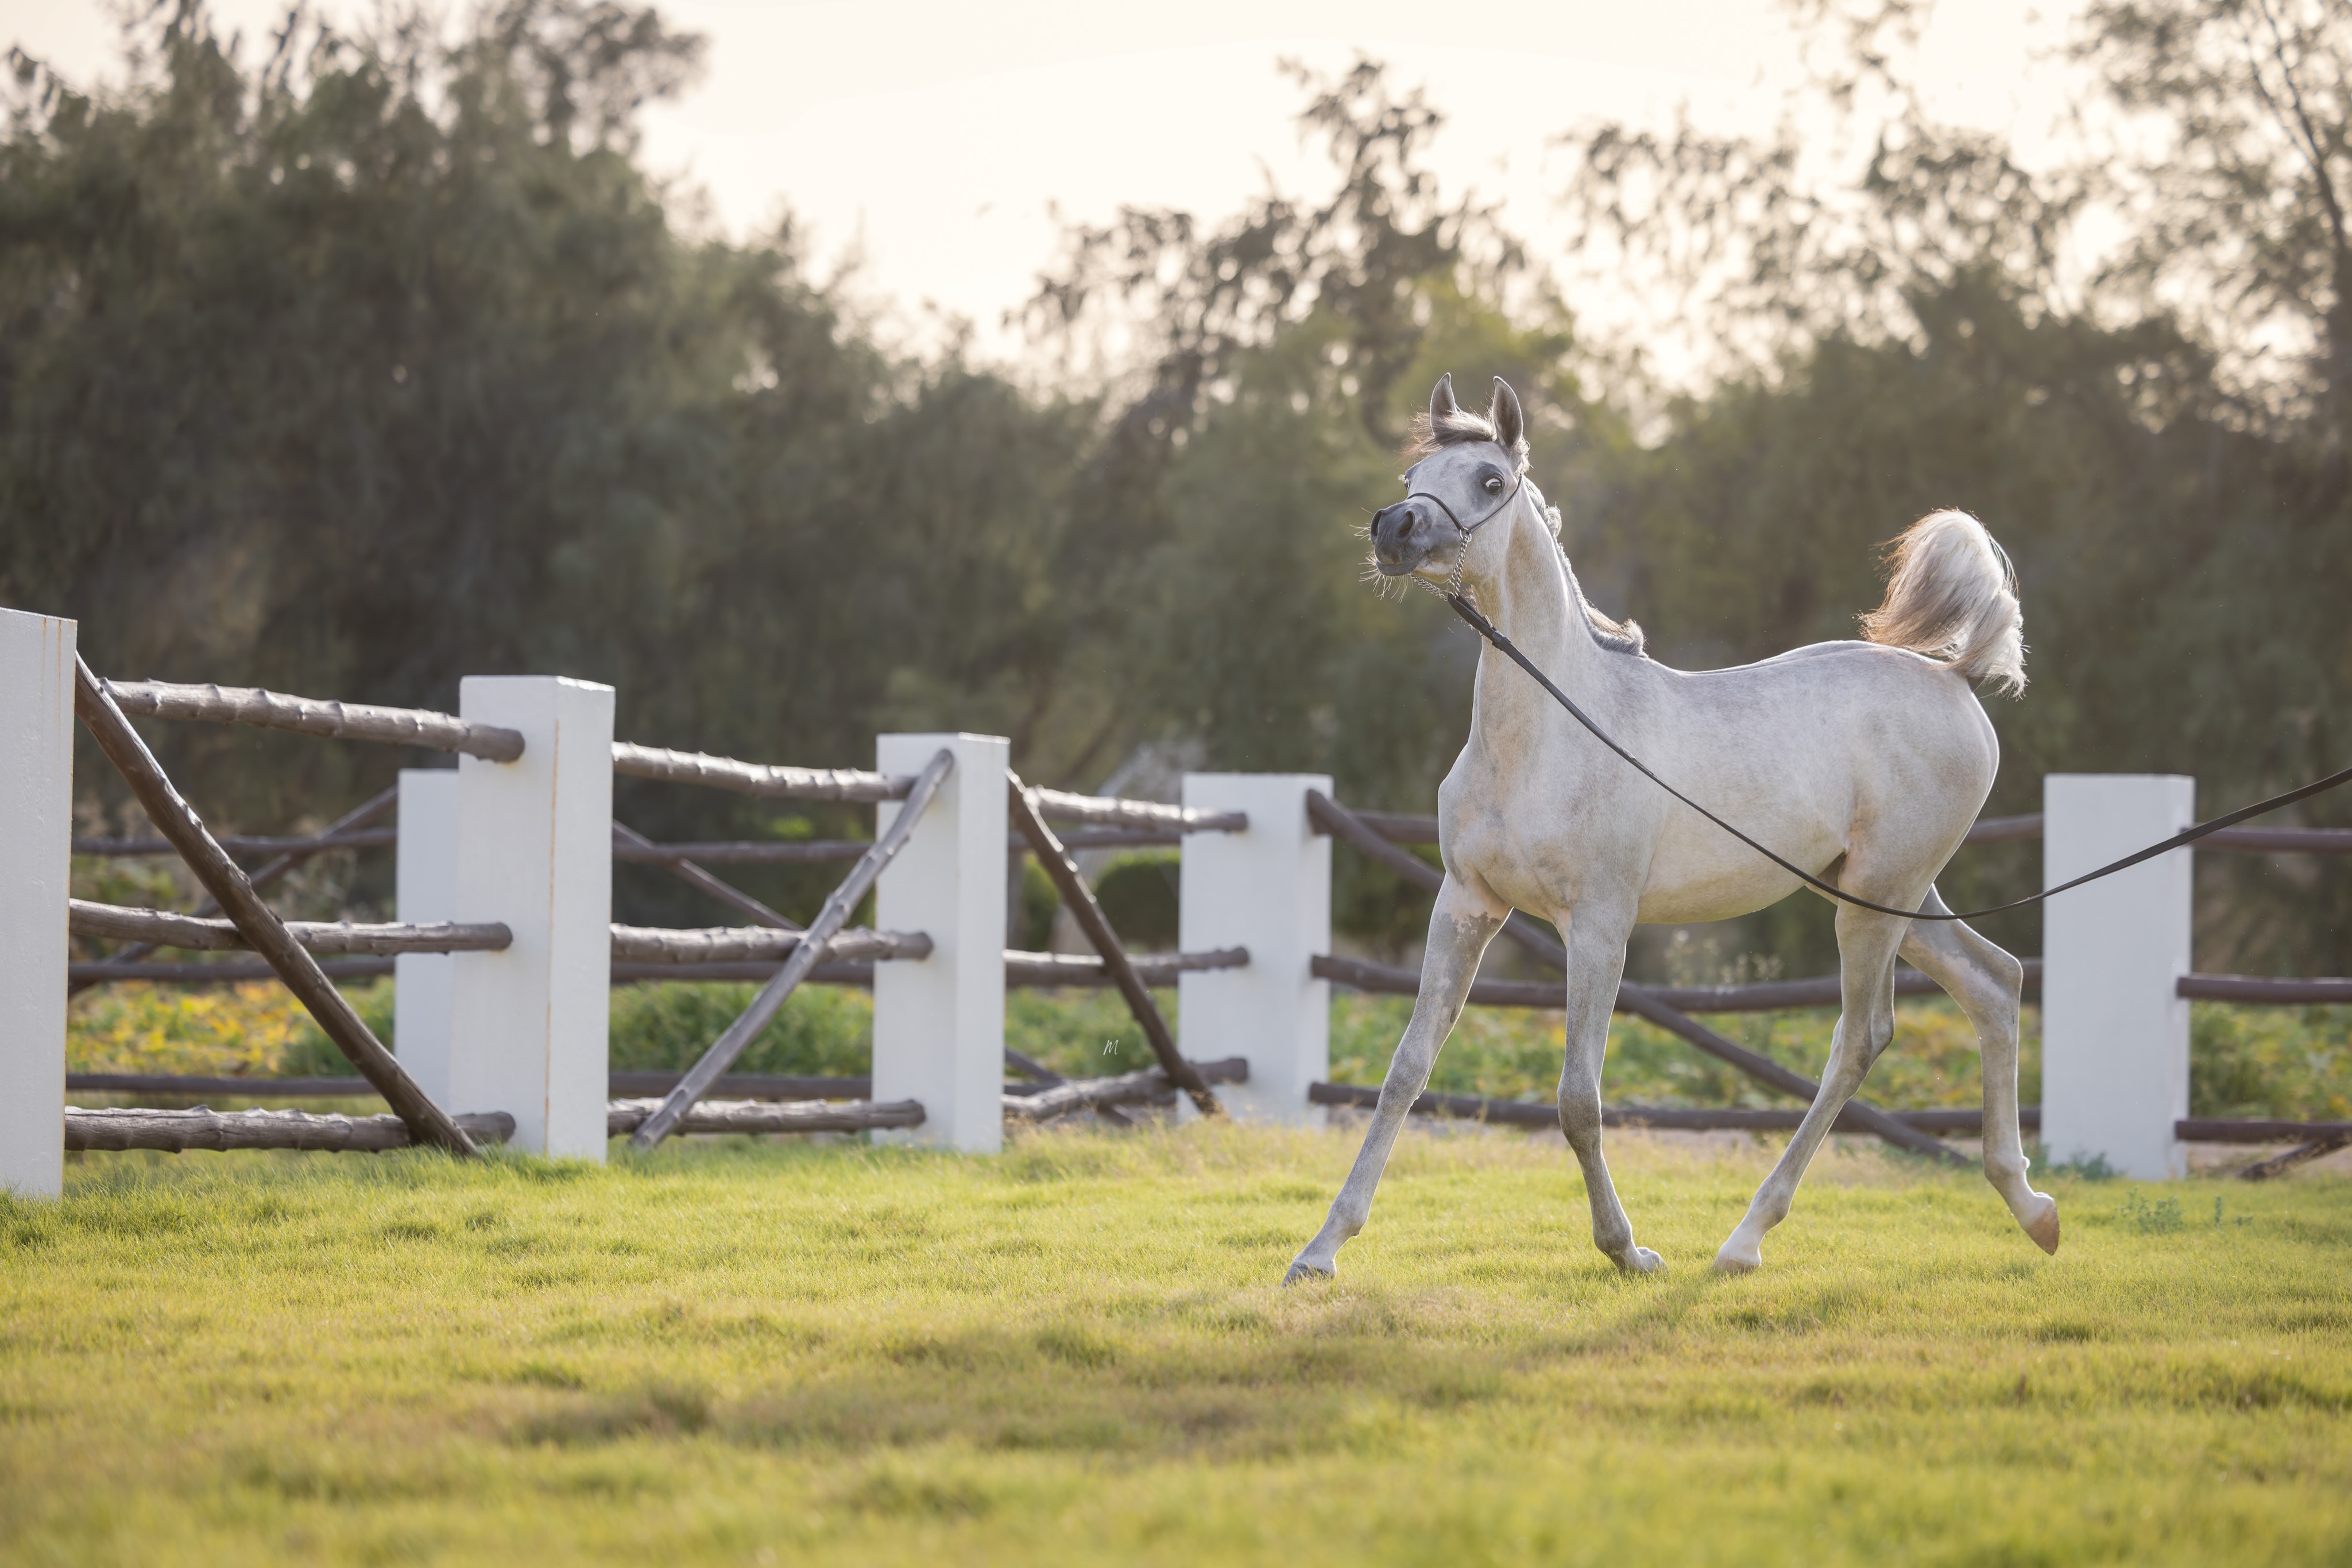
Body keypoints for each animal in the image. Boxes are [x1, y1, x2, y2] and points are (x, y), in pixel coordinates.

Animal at [1285, 373, 2058, 1281]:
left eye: (1488, 479)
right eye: (1413, 476)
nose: (1394, 530)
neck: (1547, 735)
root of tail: (1957, 678)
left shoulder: (1598, 926)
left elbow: (1577, 1098)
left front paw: (1627, 1249)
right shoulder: (1467, 906)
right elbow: (1406, 1071)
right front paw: (1320, 1250)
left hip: (1873, 904)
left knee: (1861, 1038)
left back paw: (1744, 1240)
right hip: (1892, 895)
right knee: (1995, 982)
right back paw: (2033, 1207)